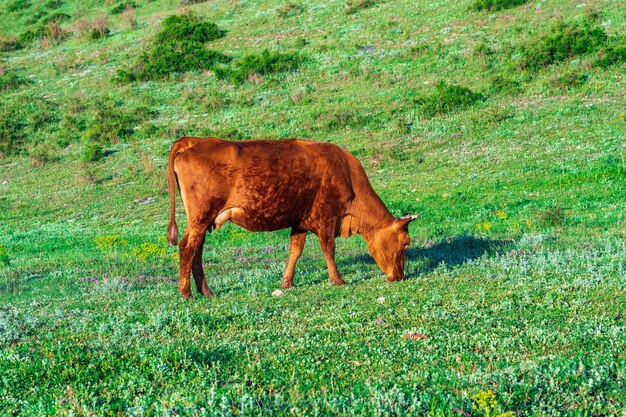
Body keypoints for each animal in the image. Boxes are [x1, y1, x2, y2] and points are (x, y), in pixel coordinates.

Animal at [167, 138, 420, 298]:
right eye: (405, 243)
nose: (399, 276)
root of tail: (195, 141)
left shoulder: (300, 222)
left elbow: (295, 251)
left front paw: (286, 282)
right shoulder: (326, 219)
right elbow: (328, 249)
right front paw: (337, 280)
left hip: (202, 221)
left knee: (197, 250)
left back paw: (206, 291)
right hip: (200, 217)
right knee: (187, 247)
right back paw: (186, 292)